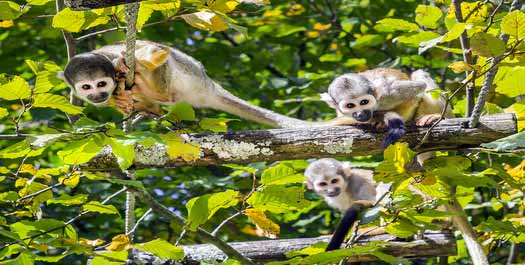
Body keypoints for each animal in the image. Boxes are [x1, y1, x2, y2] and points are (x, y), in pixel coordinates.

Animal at [320, 67, 454, 146]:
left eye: (364, 102)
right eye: (350, 105)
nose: (361, 114)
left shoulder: (387, 93)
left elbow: (418, 88)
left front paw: (382, 121)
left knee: (419, 76)